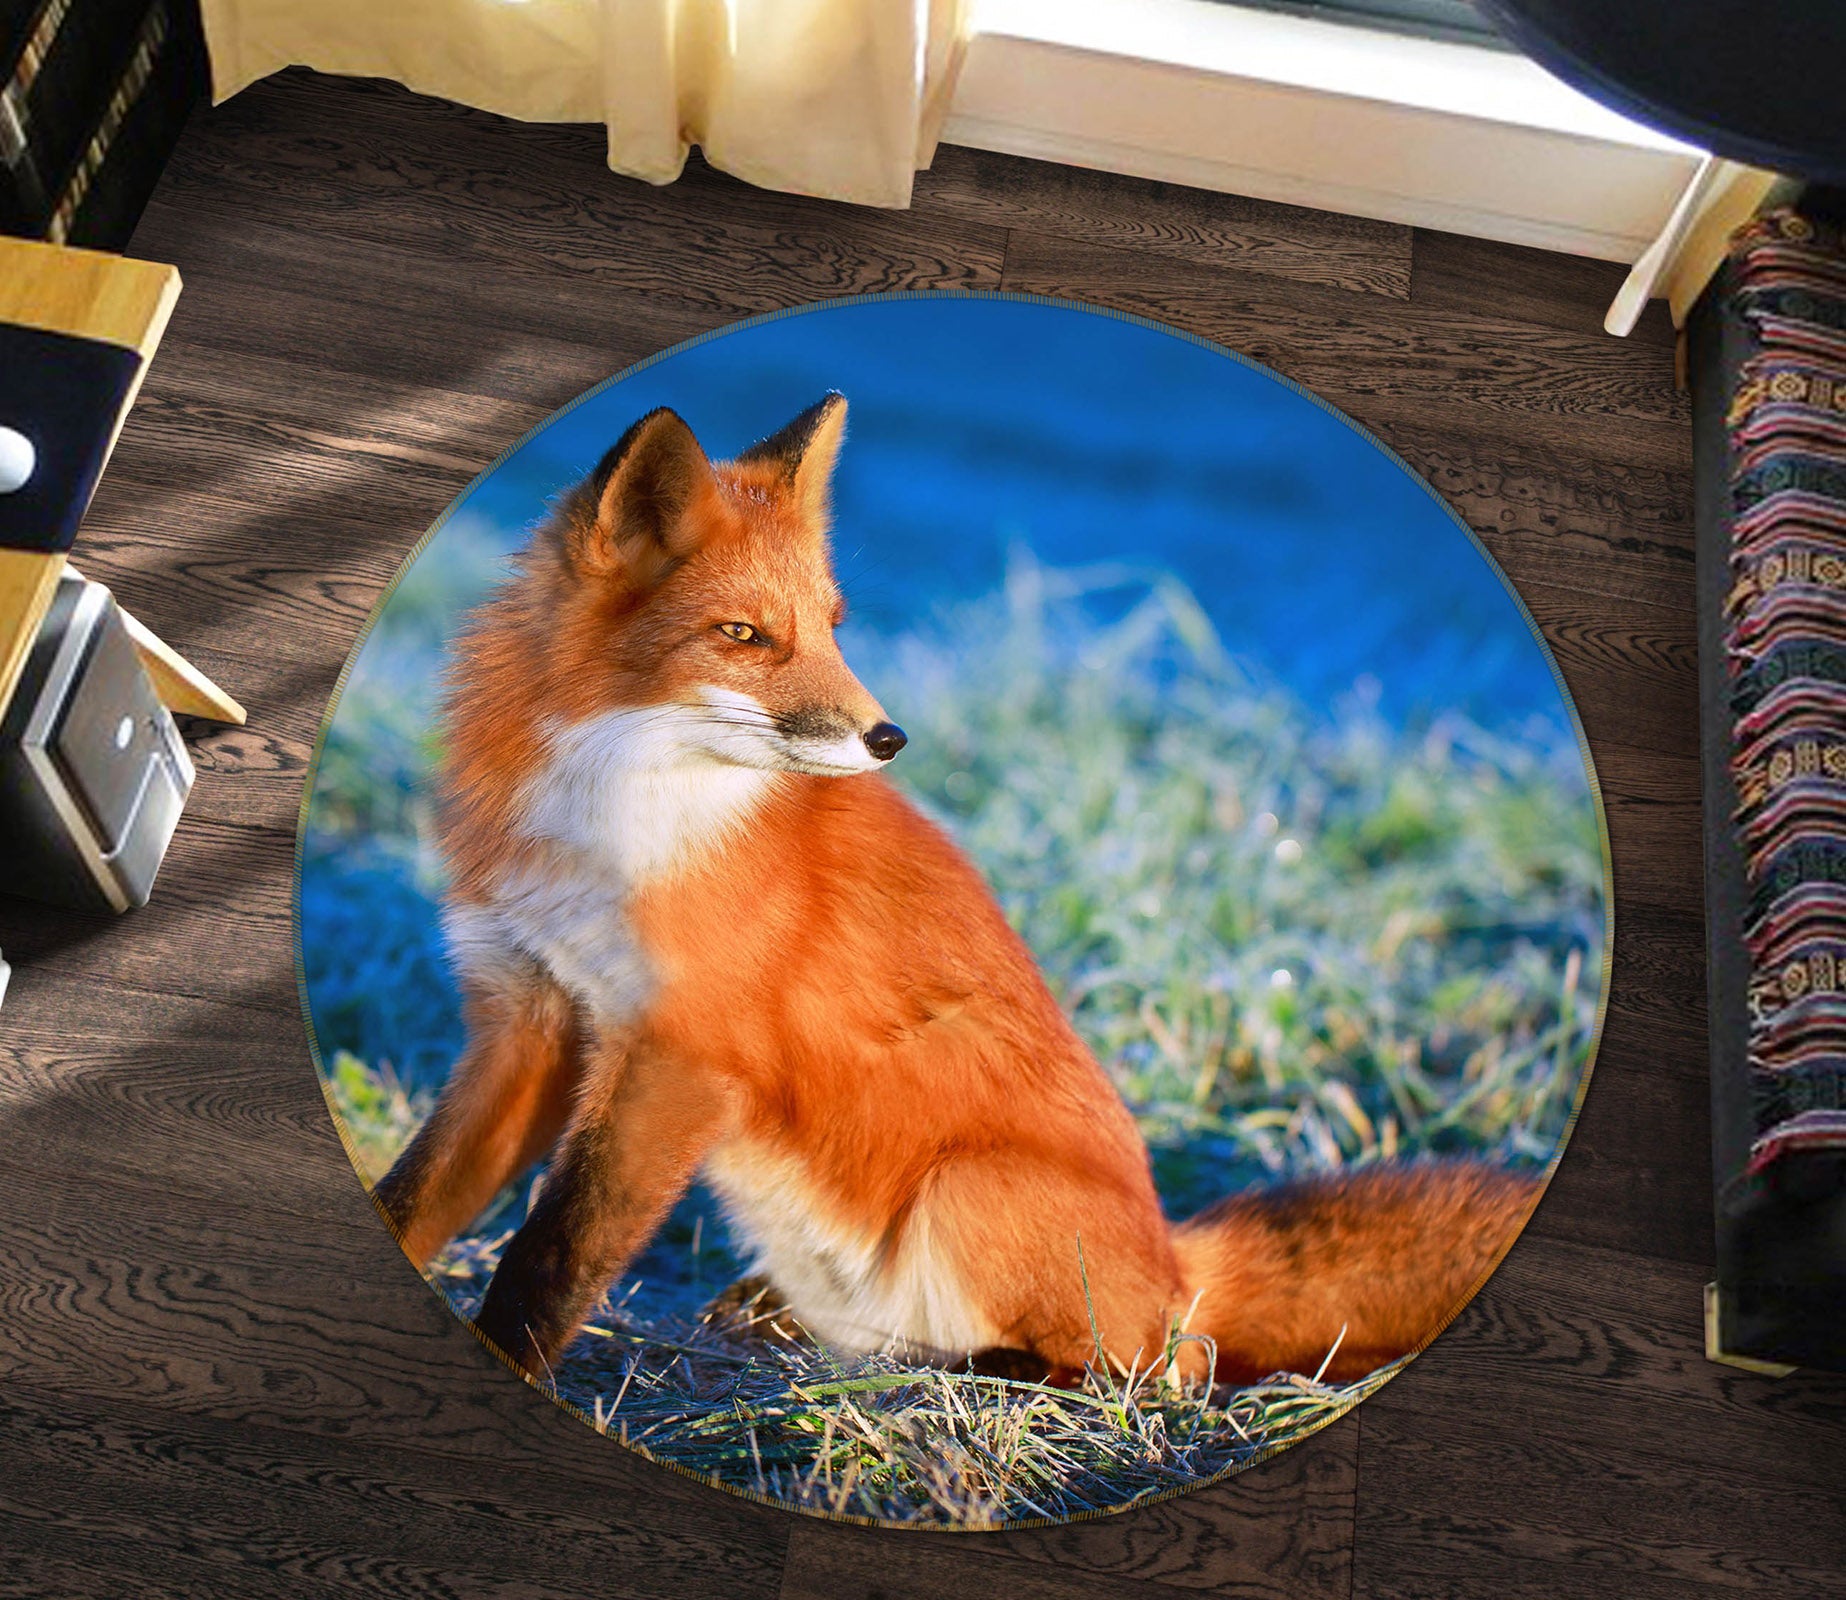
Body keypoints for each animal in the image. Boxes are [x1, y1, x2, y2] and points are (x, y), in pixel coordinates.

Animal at [374, 393, 1541, 1389]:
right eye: (743, 634)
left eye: (833, 623)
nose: (887, 736)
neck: (610, 823)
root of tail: (1177, 1262)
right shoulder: (528, 1022)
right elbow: (419, 1196)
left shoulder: (677, 1056)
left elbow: (553, 1255)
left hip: (963, 1190)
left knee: (1144, 1372)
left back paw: (977, 1373)